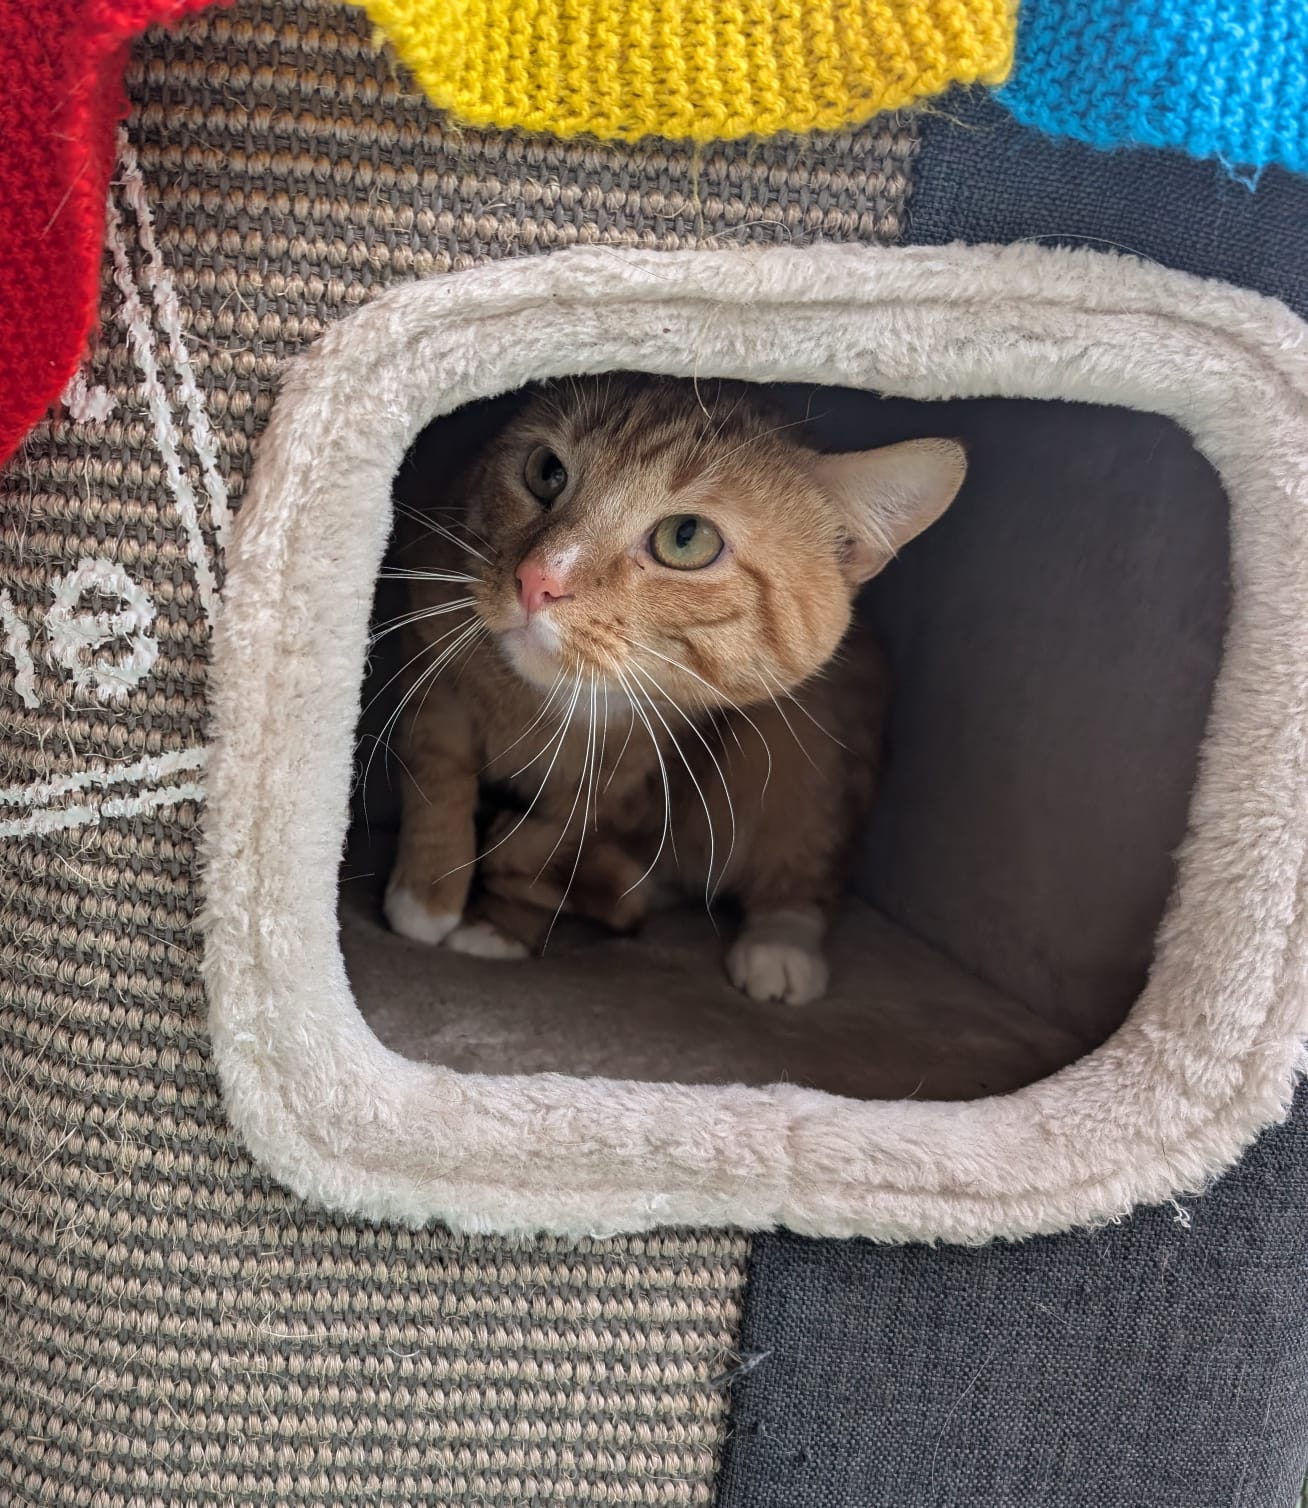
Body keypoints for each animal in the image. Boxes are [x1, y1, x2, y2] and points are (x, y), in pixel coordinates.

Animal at [378, 380, 959, 1001]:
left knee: (808, 866)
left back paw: (779, 944)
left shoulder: (630, 782)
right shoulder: (432, 666)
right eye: (547, 472)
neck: (551, 706)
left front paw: (502, 923)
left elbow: (554, 843)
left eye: (686, 538)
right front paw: (428, 891)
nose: (537, 580)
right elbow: (437, 776)